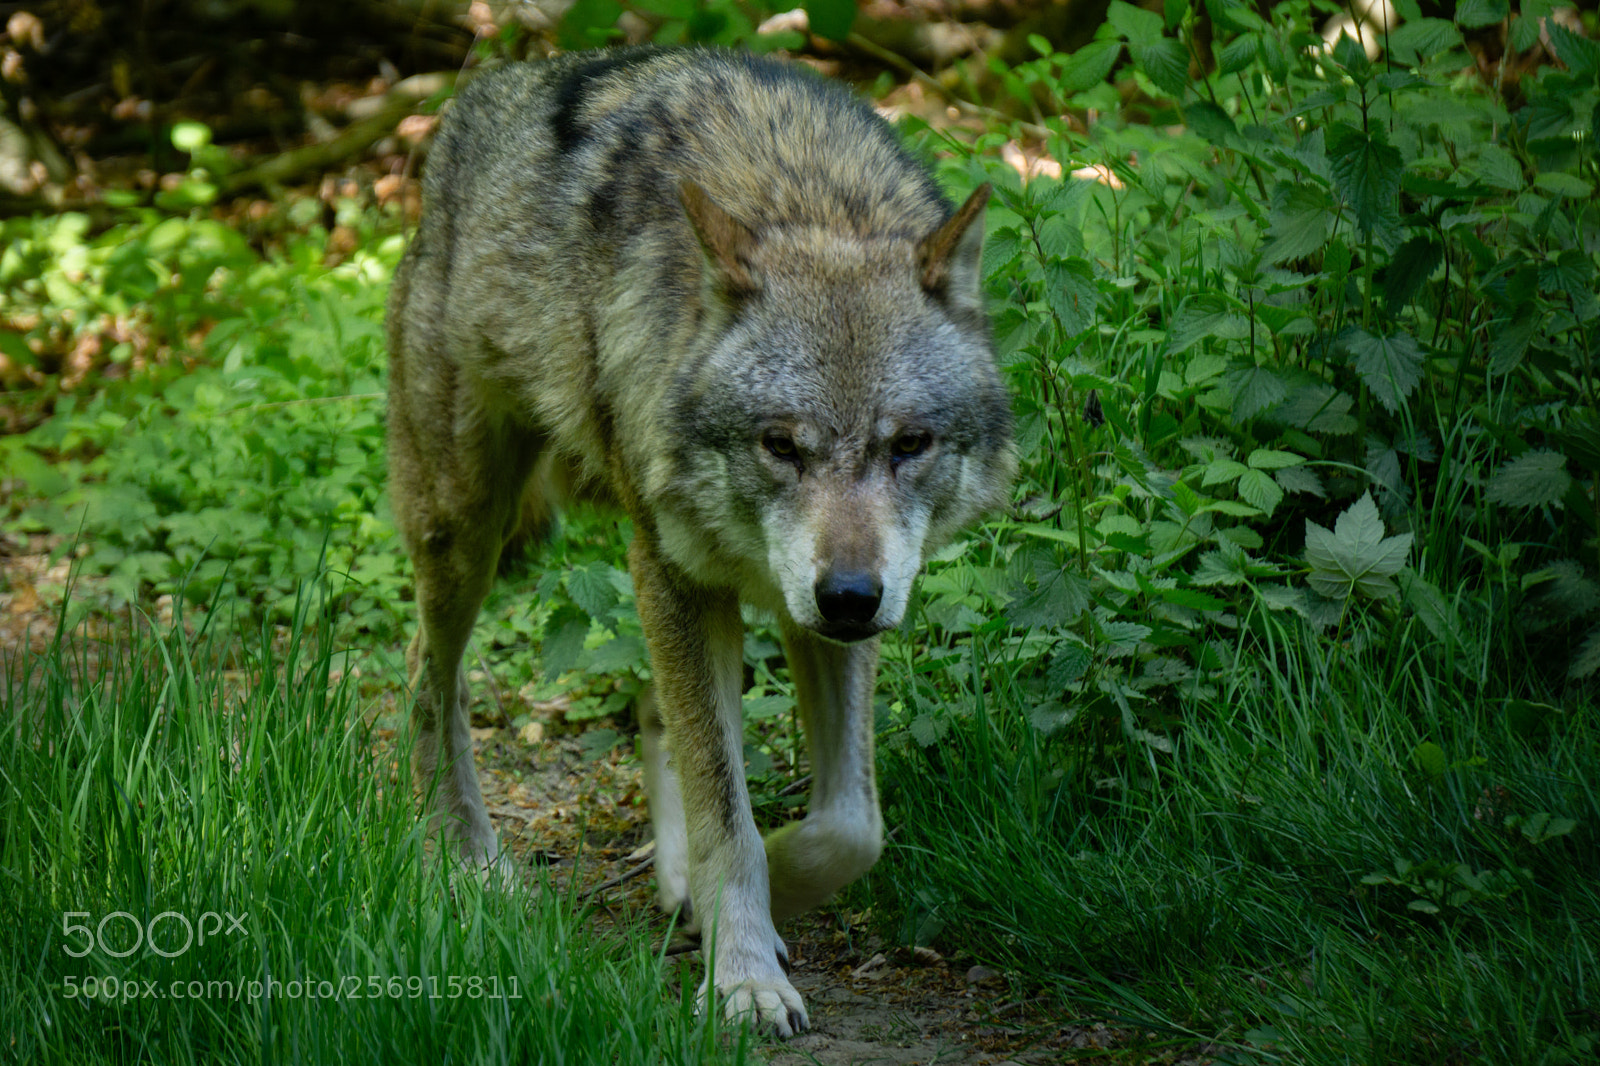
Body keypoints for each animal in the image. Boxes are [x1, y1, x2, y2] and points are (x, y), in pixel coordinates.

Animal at [385, 46, 1014, 1036]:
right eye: (780, 444)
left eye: (909, 444)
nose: (850, 596)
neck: (806, 197)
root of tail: (474, 96)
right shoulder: (681, 573)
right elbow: (731, 817)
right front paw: (746, 971)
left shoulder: (812, 613)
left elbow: (850, 827)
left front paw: (760, 899)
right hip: (468, 528)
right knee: (427, 677)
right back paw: (468, 862)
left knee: (648, 705)